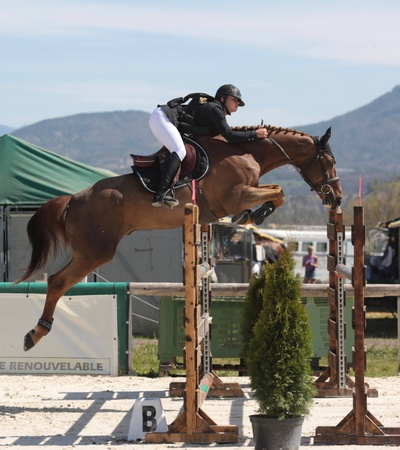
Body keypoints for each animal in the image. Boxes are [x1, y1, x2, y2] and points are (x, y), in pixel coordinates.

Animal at [18, 125, 342, 350]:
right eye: (329, 161)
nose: (336, 199)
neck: (245, 153)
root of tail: (73, 199)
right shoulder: (236, 195)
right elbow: (279, 191)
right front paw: (254, 214)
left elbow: (276, 191)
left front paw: (254, 215)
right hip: (95, 252)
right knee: (57, 281)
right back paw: (36, 333)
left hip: (90, 252)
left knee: (58, 282)